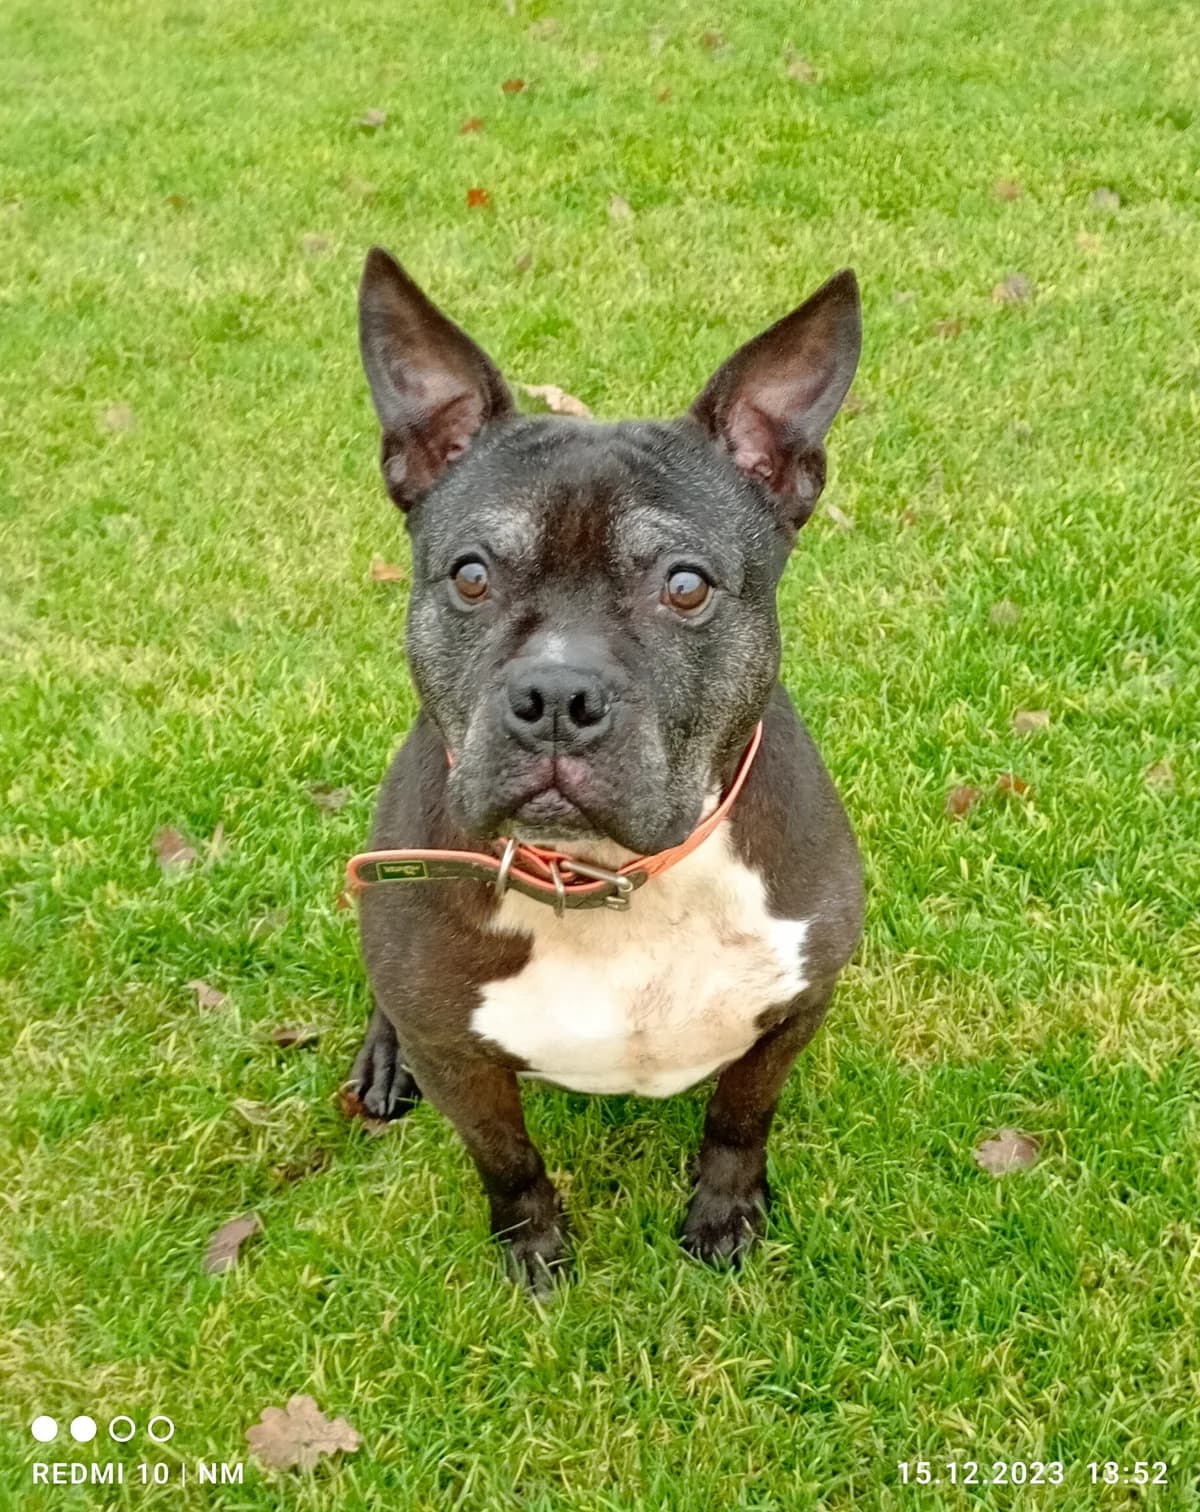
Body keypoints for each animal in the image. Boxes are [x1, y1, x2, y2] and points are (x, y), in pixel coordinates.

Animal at [345, 247, 864, 1288]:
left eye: (686, 586)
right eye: (470, 574)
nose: (557, 695)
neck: (613, 880)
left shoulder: (796, 1006)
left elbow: (741, 1116)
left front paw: (725, 1213)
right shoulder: (459, 1062)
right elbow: (506, 1160)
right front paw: (534, 1249)